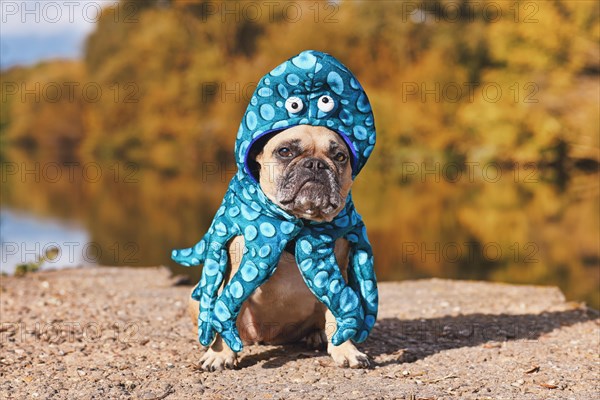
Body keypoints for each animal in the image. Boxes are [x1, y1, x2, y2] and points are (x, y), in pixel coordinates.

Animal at [191, 126, 370, 372]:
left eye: (340, 157)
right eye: (285, 151)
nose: (316, 164)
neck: (298, 224)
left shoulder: (337, 275)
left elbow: (338, 311)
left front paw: (347, 350)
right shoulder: (232, 274)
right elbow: (224, 310)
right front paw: (219, 353)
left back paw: (318, 335)